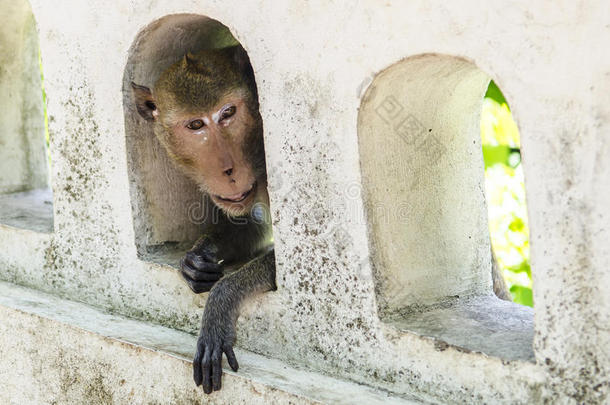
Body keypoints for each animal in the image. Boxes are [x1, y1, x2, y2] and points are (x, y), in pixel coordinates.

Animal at [134, 45, 276, 392]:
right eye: (196, 125)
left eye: (228, 113)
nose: (229, 170)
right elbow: (250, 225)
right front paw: (196, 259)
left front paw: (221, 301)